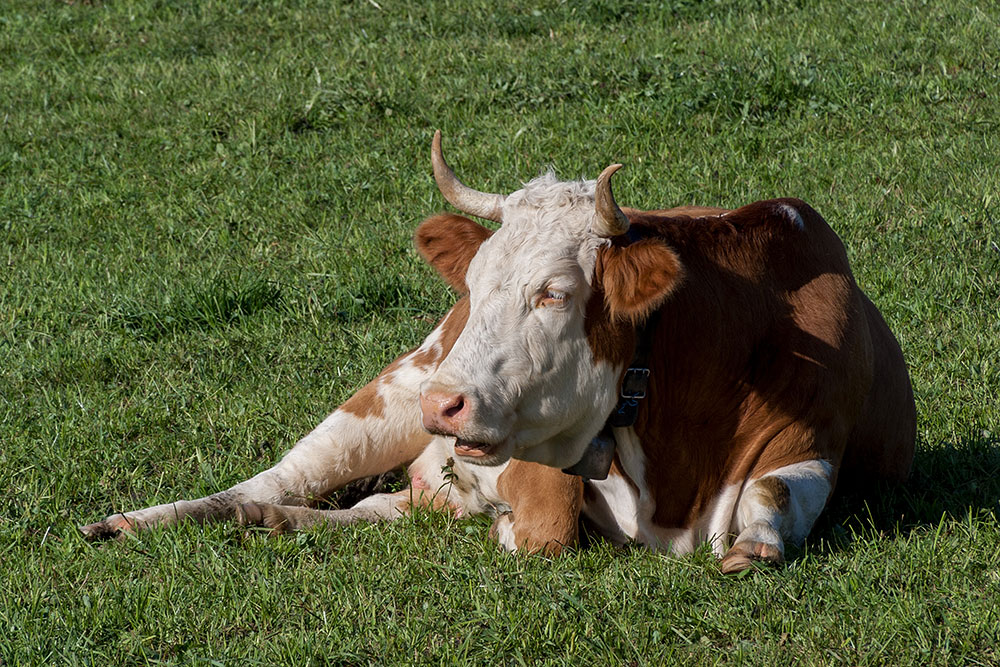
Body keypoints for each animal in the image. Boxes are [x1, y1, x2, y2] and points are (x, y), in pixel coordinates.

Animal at [82, 132, 916, 576]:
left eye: (554, 292)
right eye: (478, 282)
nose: (444, 405)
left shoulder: (813, 441)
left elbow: (771, 501)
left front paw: (749, 546)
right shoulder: (530, 456)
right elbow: (545, 528)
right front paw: (511, 525)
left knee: (376, 509)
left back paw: (278, 523)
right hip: (388, 392)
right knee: (279, 477)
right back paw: (136, 521)